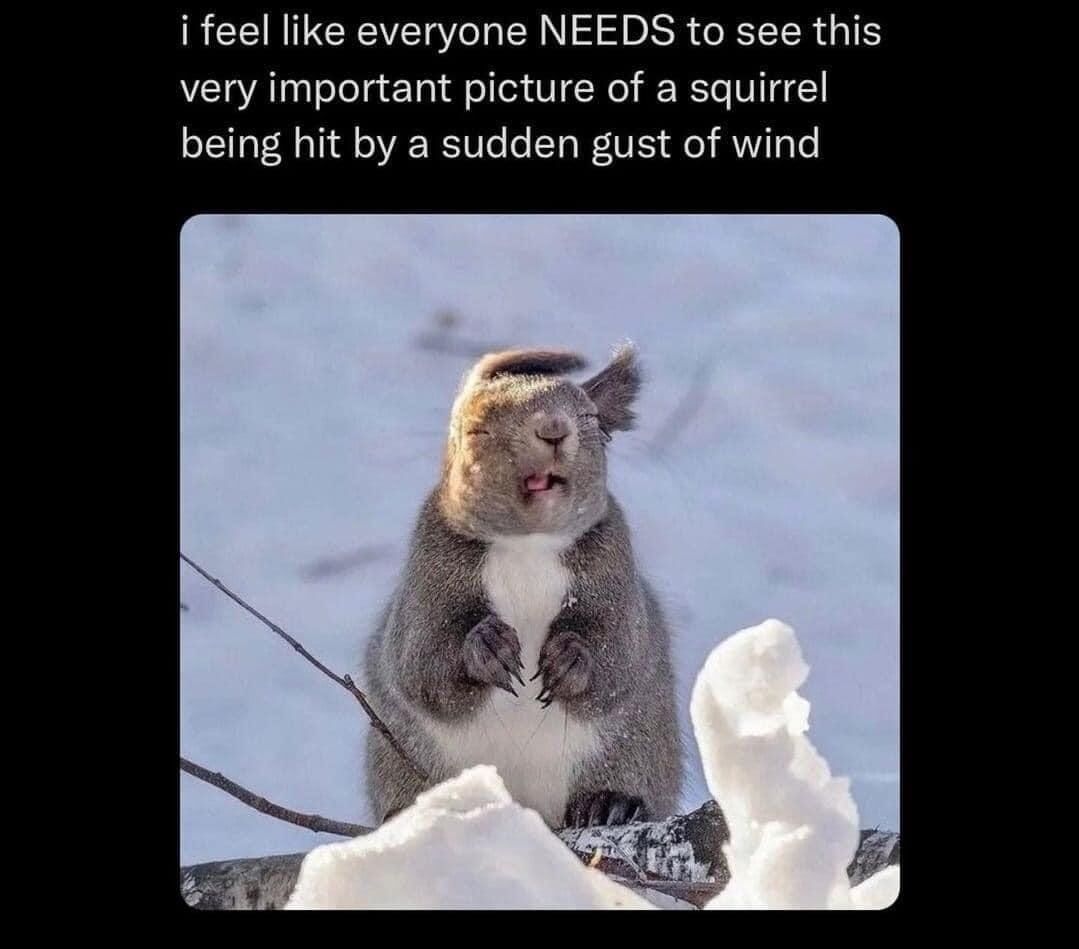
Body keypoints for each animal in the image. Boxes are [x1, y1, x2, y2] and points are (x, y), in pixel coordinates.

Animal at [362, 343, 682, 828]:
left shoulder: (615, 574)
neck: (528, 545)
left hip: (634, 751)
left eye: (589, 417)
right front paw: (486, 647)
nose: (553, 429)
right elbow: (420, 663)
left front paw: (572, 657)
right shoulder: (427, 577)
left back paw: (610, 803)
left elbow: (620, 653)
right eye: (475, 428)